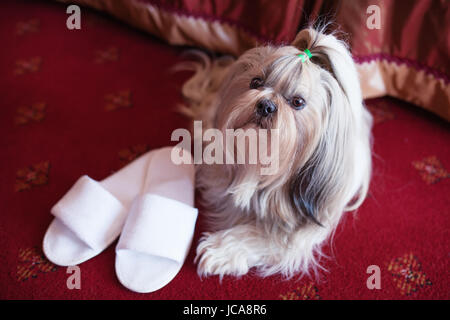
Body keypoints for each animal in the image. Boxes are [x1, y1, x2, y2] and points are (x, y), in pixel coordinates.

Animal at [178, 26, 370, 278]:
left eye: (298, 102)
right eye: (256, 82)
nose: (266, 105)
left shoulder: (301, 227)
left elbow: (265, 237)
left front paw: (221, 251)